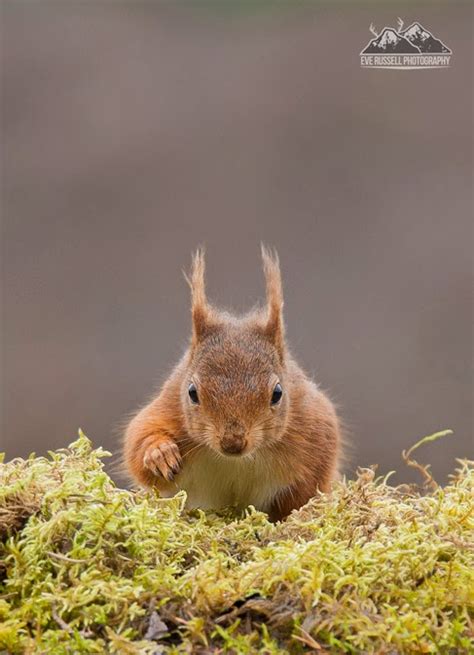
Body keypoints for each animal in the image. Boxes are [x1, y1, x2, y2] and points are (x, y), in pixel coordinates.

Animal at [123, 249, 340, 520]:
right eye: (192, 392)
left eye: (277, 393)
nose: (232, 443)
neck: (235, 460)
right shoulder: (169, 405)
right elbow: (138, 441)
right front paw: (159, 454)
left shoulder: (316, 429)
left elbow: (309, 486)